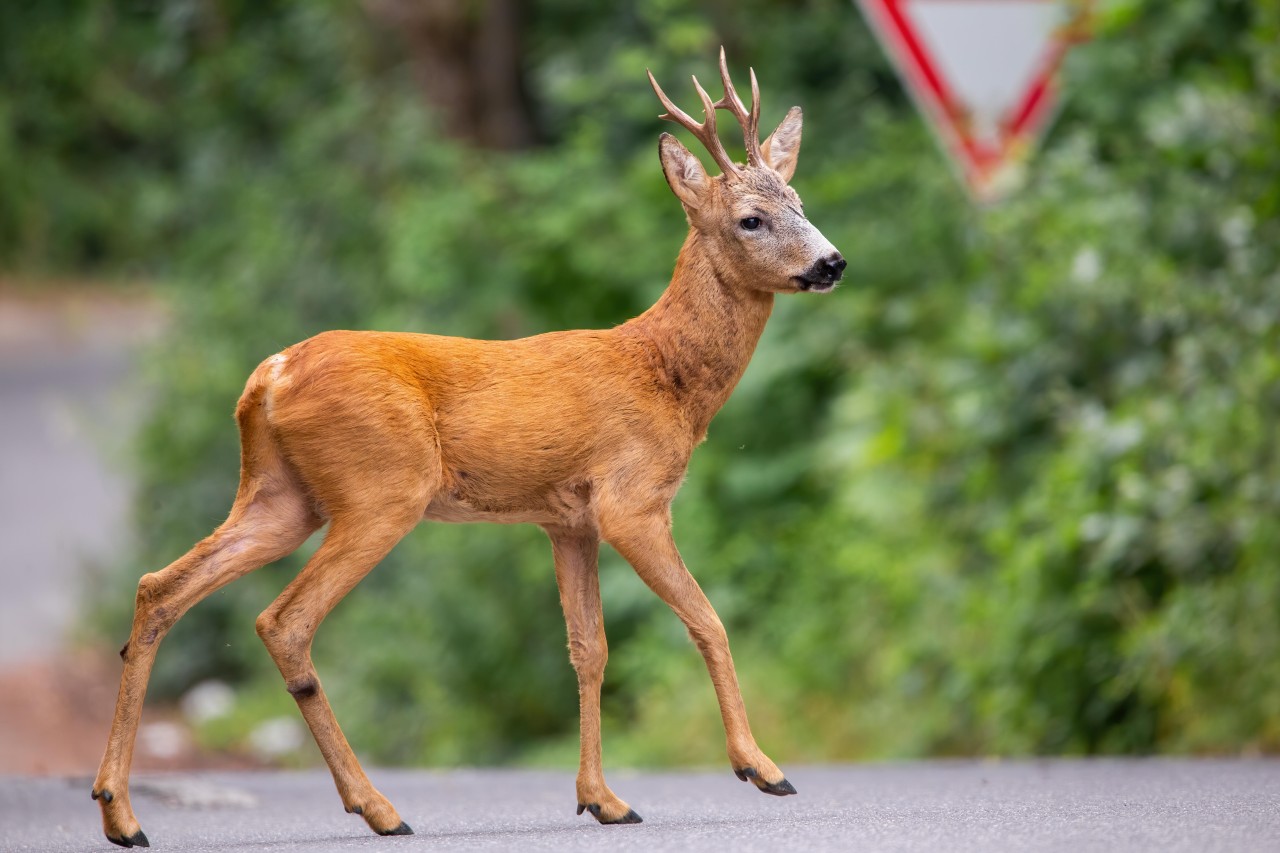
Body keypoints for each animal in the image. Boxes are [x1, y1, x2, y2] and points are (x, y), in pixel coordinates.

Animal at [94, 49, 844, 845]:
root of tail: (270, 374)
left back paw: (121, 812)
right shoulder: (631, 501)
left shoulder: (567, 520)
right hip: (381, 490)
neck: (664, 375)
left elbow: (588, 649)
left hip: (280, 496)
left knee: (161, 587)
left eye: (800, 199)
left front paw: (602, 798)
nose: (832, 262)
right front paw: (760, 767)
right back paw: (379, 808)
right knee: (284, 620)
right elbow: (707, 620)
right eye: (751, 218)